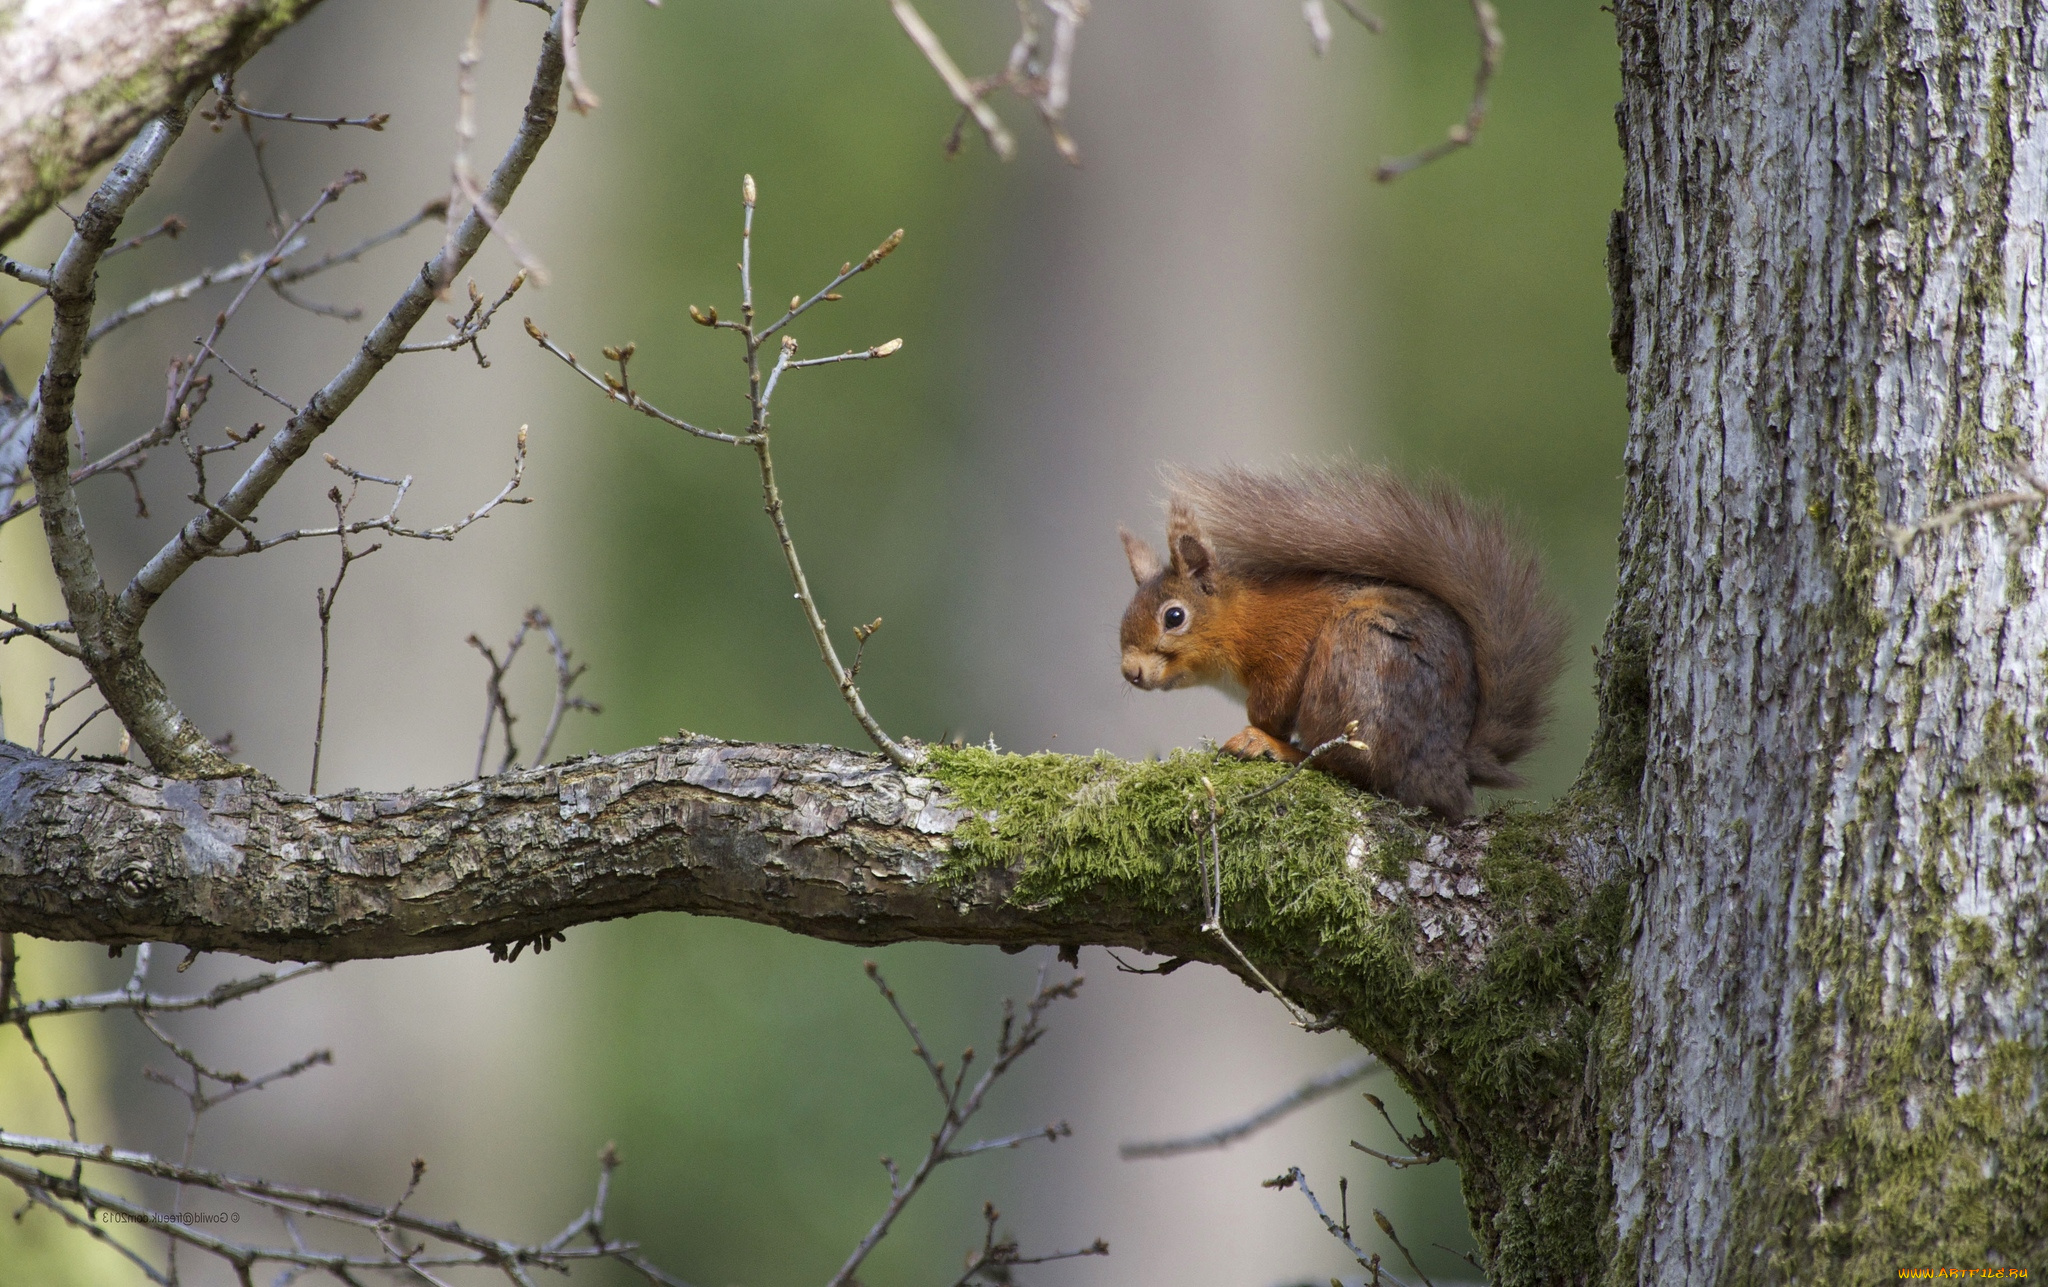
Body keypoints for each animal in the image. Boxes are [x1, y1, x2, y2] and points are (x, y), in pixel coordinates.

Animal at [1122, 463, 1564, 819]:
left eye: (1174, 617)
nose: (1130, 672)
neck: (1241, 621)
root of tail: (1450, 769)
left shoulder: (1286, 643)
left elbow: (1273, 702)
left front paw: (1261, 729)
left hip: (1355, 665)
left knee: (1349, 767)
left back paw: (1276, 748)